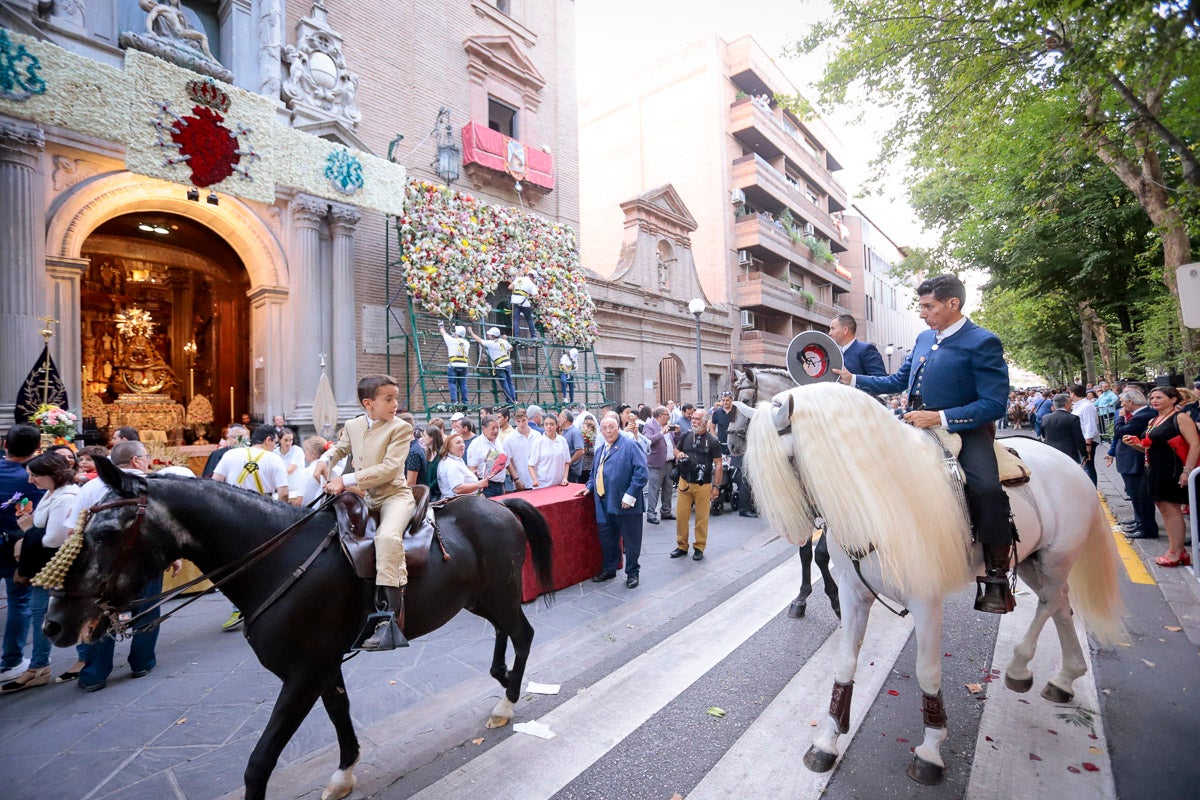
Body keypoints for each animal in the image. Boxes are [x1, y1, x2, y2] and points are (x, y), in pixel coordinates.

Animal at [39, 460, 554, 800]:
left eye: (105, 534)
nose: (54, 623)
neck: (277, 559)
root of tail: (501, 506)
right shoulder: (323, 666)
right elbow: (341, 715)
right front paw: (344, 775)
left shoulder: (302, 674)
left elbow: (260, 761)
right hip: (479, 599)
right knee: (506, 634)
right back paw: (501, 679)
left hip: (501, 593)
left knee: (524, 635)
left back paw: (507, 701)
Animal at [744, 383, 1128, 786]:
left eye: (788, 459)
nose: (796, 534)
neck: (878, 497)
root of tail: (1071, 463)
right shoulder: (853, 596)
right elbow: (845, 663)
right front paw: (827, 741)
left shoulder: (926, 602)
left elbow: (927, 672)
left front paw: (930, 750)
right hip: (1031, 560)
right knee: (1061, 605)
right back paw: (1064, 678)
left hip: (1056, 559)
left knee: (1050, 602)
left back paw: (1020, 666)